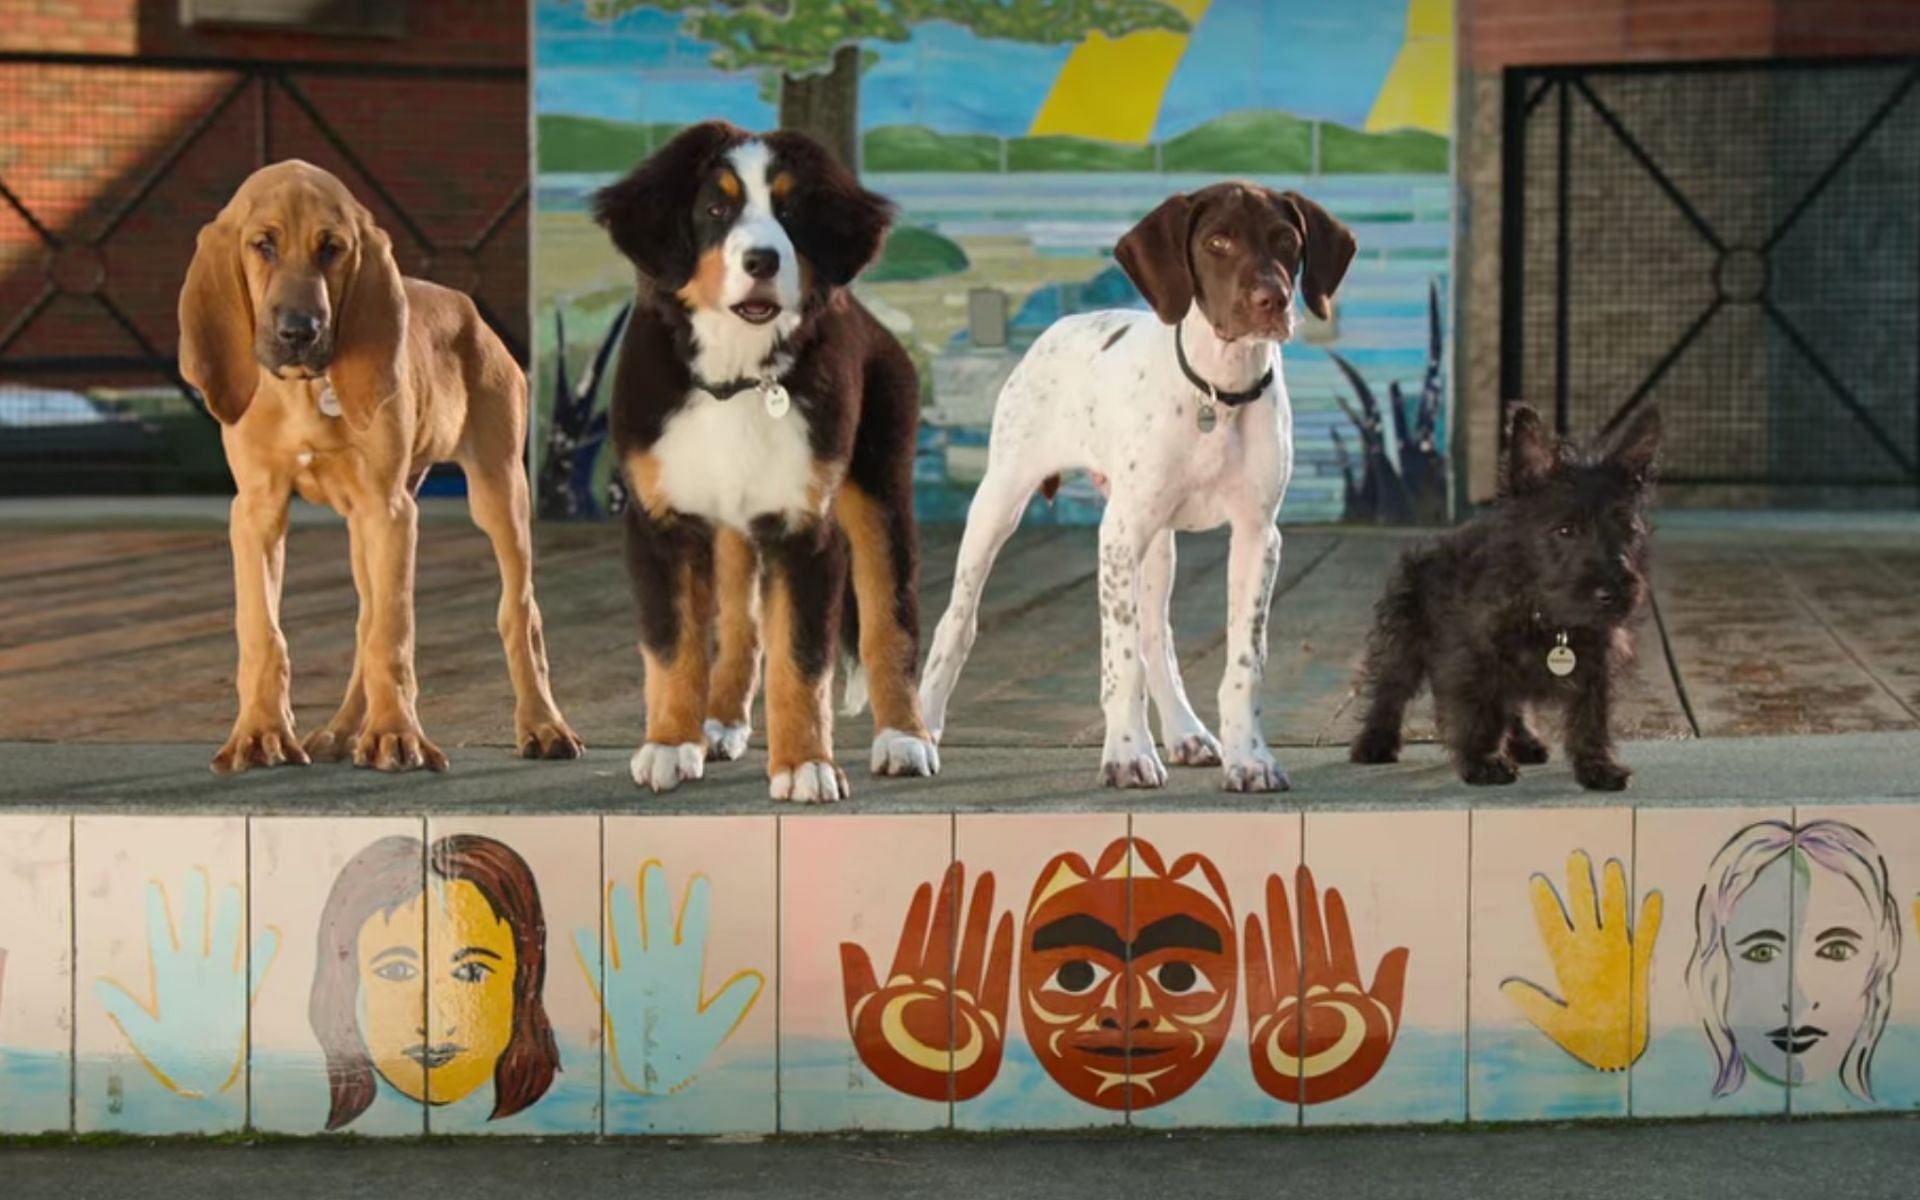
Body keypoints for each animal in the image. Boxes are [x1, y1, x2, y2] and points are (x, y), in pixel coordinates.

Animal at [183, 159, 579, 771]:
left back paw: (542, 725)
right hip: (363, 527)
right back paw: (342, 731)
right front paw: (261, 732)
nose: (300, 331)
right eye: (262, 245)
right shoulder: (256, 511)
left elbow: (393, 633)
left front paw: (396, 735)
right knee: (365, 620)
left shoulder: (390, 511)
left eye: (332, 248)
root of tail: (468, 308)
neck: (305, 392)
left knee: (519, 613)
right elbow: (262, 631)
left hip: (498, 492)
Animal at [591, 121, 936, 798]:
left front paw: (805, 765)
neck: (737, 377)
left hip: (880, 489)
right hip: (730, 527)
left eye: (792, 210)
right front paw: (669, 744)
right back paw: (720, 723)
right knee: (740, 628)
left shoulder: (802, 528)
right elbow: (674, 646)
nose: (762, 261)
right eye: (715, 210)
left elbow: (800, 659)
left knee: (891, 621)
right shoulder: (661, 523)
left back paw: (904, 737)